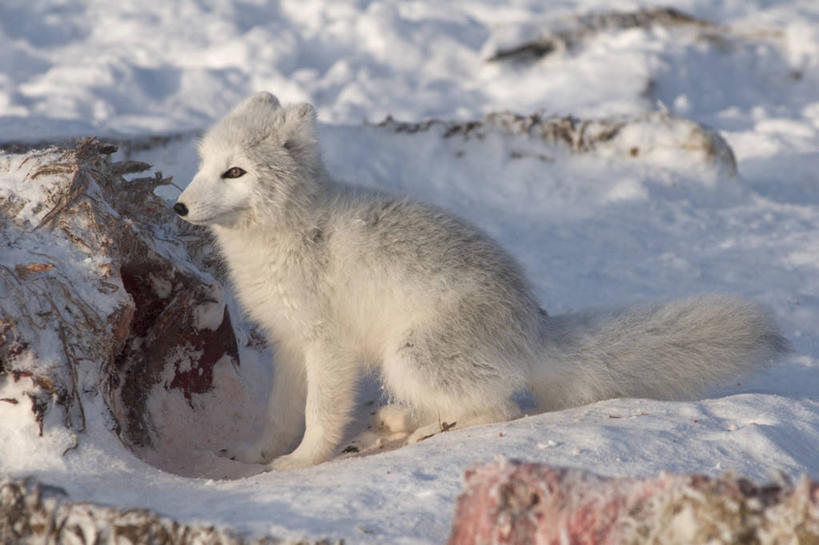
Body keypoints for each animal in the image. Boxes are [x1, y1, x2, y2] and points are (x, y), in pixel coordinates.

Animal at [173, 92, 788, 468]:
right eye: (204, 164)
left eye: (236, 172)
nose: (178, 207)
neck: (292, 229)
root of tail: (533, 327)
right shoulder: (288, 343)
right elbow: (280, 412)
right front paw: (256, 453)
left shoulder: (328, 348)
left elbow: (319, 415)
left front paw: (300, 462)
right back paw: (396, 421)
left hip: (409, 353)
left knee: (499, 410)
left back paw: (423, 429)